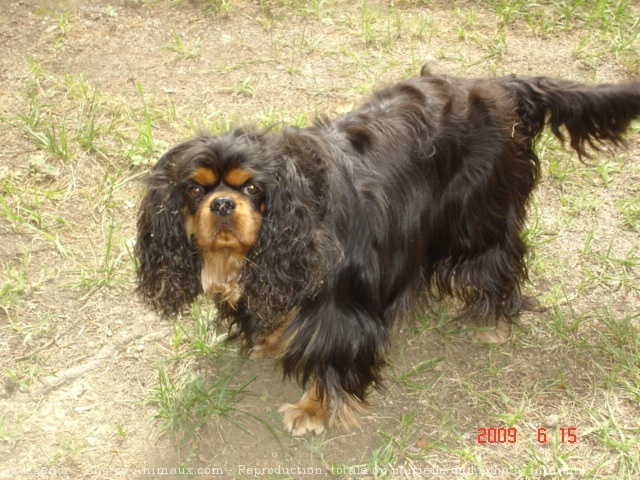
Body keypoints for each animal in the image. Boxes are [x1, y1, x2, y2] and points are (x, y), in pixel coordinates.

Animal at [136, 65, 640, 436]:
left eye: (253, 189)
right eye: (194, 190)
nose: (222, 204)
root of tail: (498, 84)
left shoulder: (342, 308)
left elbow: (332, 357)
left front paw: (314, 410)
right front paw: (270, 338)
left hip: (478, 216)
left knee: (497, 258)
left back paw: (491, 319)